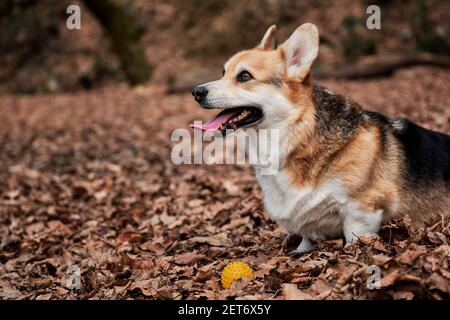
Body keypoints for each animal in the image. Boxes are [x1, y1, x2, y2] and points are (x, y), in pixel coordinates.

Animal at [191, 23, 450, 252]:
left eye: (244, 76)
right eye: (223, 72)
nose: (196, 92)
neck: (295, 132)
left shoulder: (361, 212)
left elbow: (354, 239)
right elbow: (306, 240)